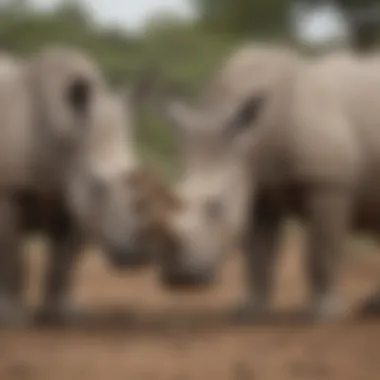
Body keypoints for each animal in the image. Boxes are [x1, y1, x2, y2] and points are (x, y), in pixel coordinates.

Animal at [0, 43, 154, 324]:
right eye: (97, 186)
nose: (136, 256)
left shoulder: (74, 199)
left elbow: (66, 259)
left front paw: (63, 316)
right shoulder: (7, 191)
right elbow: (9, 256)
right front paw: (11, 318)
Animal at [149, 44, 380, 322]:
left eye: (217, 208)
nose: (179, 279)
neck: (253, 139)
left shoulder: (328, 184)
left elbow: (322, 251)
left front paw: (322, 314)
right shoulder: (259, 188)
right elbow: (257, 253)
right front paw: (249, 311)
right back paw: (372, 308)